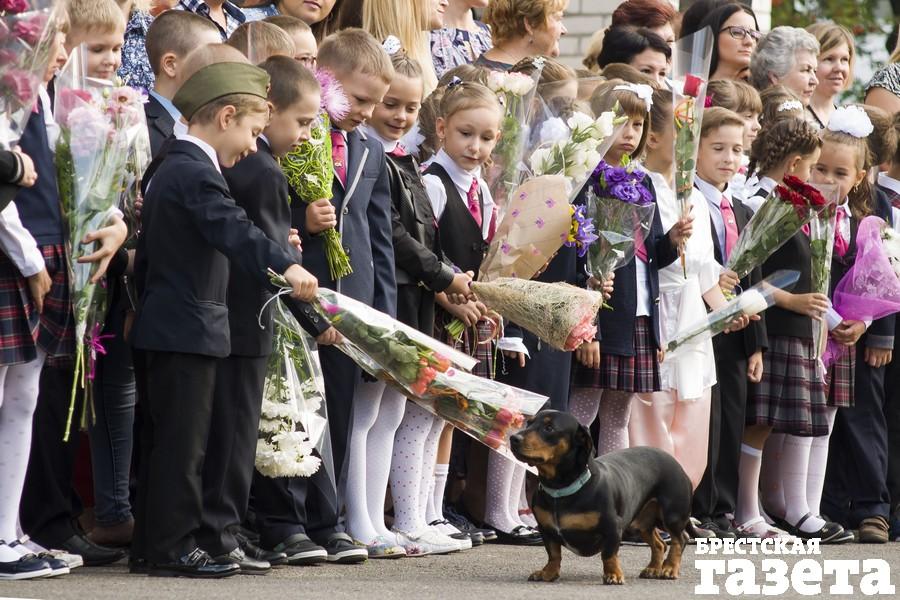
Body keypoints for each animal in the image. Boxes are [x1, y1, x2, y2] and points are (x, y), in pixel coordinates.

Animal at [509, 409, 693, 585]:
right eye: (529, 423)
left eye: (549, 428)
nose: (513, 438)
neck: (560, 489)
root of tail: (675, 462)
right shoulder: (545, 529)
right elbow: (553, 554)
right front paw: (548, 572)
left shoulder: (613, 527)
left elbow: (609, 555)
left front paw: (613, 574)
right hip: (640, 523)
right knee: (659, 544)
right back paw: (653, 568)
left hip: (672, 516)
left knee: (680, 539)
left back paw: (669, 568)